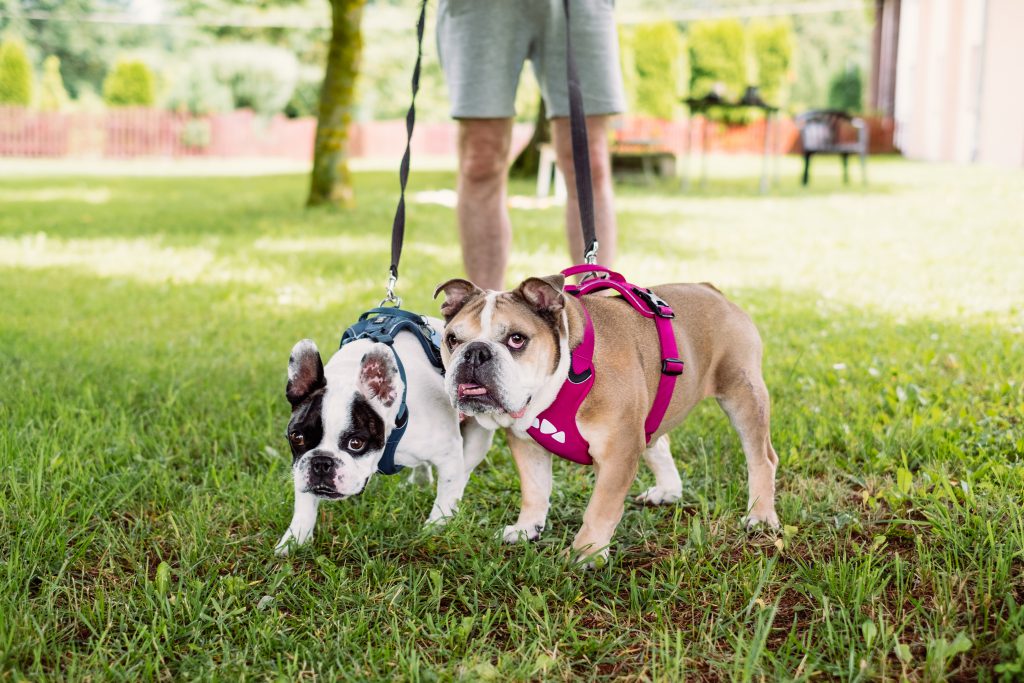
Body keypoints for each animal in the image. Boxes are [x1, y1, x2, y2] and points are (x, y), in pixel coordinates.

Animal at [276, 323, 491, 552]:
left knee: (463, 471)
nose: (321, 463)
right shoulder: (301, 468)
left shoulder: (448, 454)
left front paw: (436, 527)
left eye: (356, 443)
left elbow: (446, 493)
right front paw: (294, 540)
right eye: (296, 437)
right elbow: (304, 505)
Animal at [436, 274, 778, 565]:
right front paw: (526, 529)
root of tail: (712, 290)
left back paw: (761, 516)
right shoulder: (526, 445)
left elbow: (600, 507)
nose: (475, 352)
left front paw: (586, 553)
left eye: (517, 340)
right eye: (452, 340)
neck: (567, 371)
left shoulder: (618, 452)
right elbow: (534, 491)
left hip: (742, 394)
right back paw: (667, 491)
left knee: (762, 458)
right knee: (659, 441)